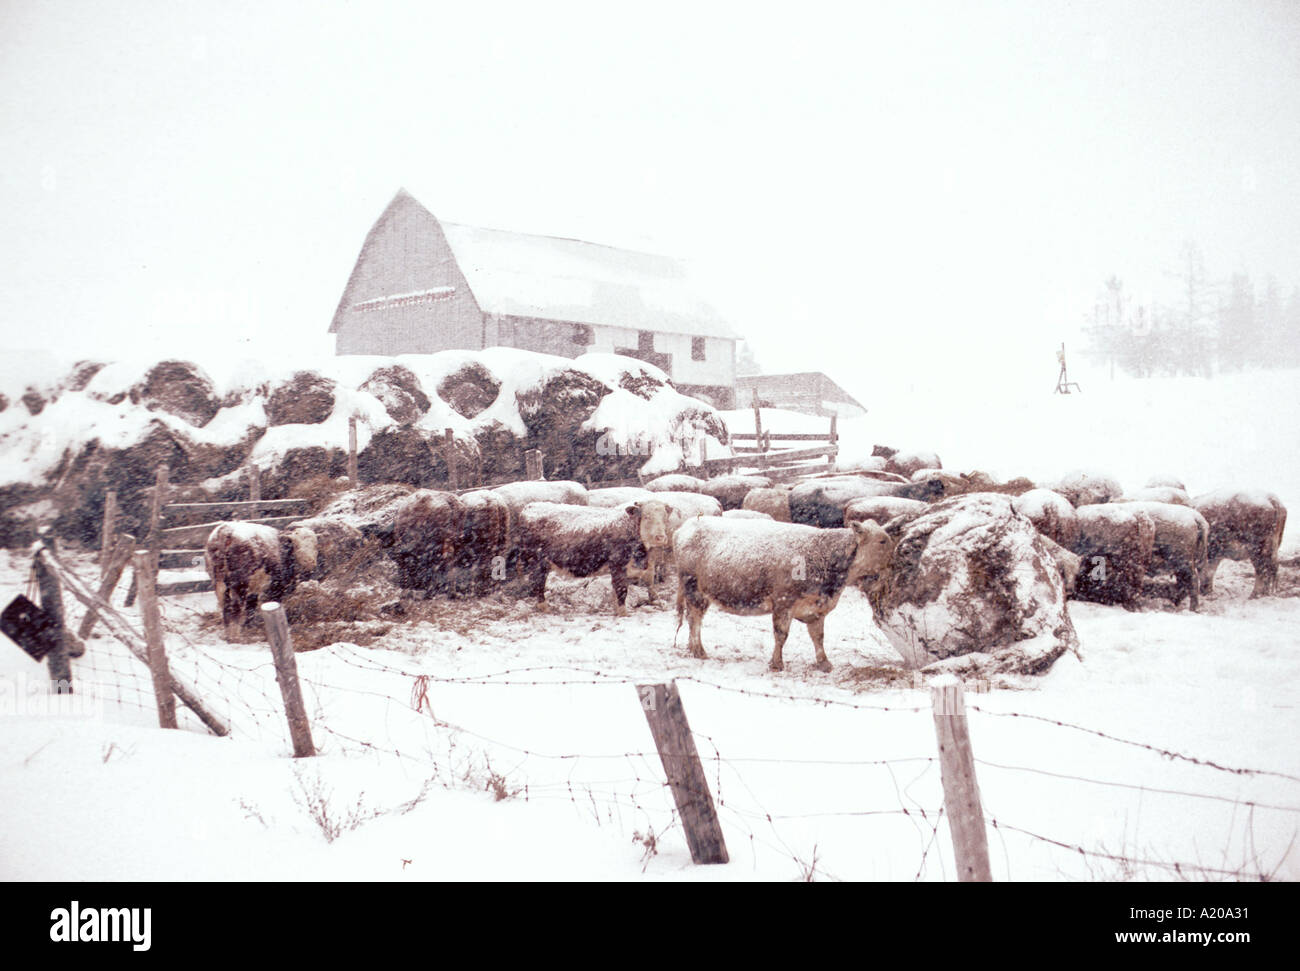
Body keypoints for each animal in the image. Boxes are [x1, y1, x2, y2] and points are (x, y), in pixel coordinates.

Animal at [515, 500, 670, 615]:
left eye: (664, 518)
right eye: (647, 517)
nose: (660, 537)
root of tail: (530, 506)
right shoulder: (617, 564)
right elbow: (621, 589)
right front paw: (623, 612)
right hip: (537, 561)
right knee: (538, 583)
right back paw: (545, 608)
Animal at [673, 517, 895, 672]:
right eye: (882, 541)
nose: (895, 559)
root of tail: (686, 526)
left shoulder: (815, 608)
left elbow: (818, 637)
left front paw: (824, 663)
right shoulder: (783, 603)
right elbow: (781, 635)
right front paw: (777, 663)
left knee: (694, 619)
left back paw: (693, 648)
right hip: (694, 590)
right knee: (694, 620)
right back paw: (699, 651)